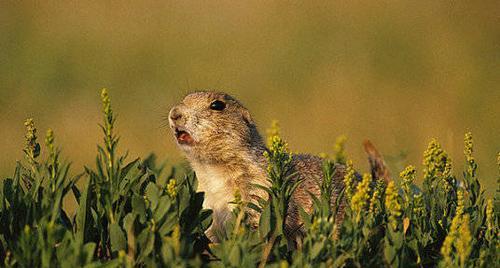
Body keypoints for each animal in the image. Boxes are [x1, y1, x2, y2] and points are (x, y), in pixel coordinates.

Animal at [168, 91, 386, 244]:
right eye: (184, 99)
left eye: (217, 105)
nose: (174, 113)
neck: (213, 170)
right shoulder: (207, 202)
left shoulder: (258, 191)